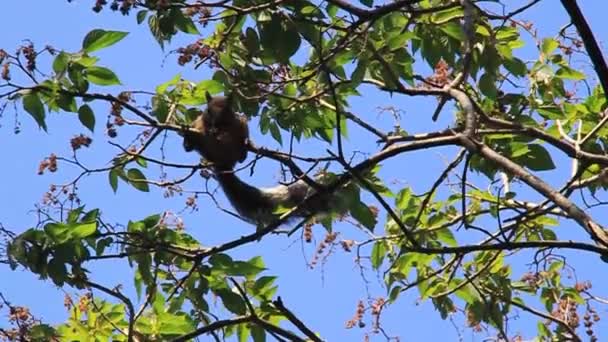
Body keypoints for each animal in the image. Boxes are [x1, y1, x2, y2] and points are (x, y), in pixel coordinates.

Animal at [182, 92, 346, 226]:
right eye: (207, 110)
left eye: (226, 110)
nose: (215, 124)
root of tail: (223, 165)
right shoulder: (198, 123)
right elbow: (200, 129)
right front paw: (208, 131)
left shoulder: (239, 122)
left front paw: (226, 134)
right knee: (192, 146)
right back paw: (190, 140)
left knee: (240, 150)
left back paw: (243, 151)